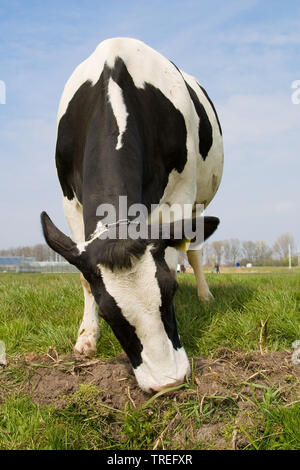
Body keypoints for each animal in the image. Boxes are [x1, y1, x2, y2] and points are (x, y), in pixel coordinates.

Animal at [41, 37, 224, 392]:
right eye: (108, 313)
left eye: (170, 291)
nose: (168, 382)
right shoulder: (70, 202)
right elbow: (84, 279)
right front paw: (86, 338)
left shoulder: (181, 194)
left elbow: (174, 256)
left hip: (198, 202)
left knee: (194, 252)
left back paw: (205, 295)